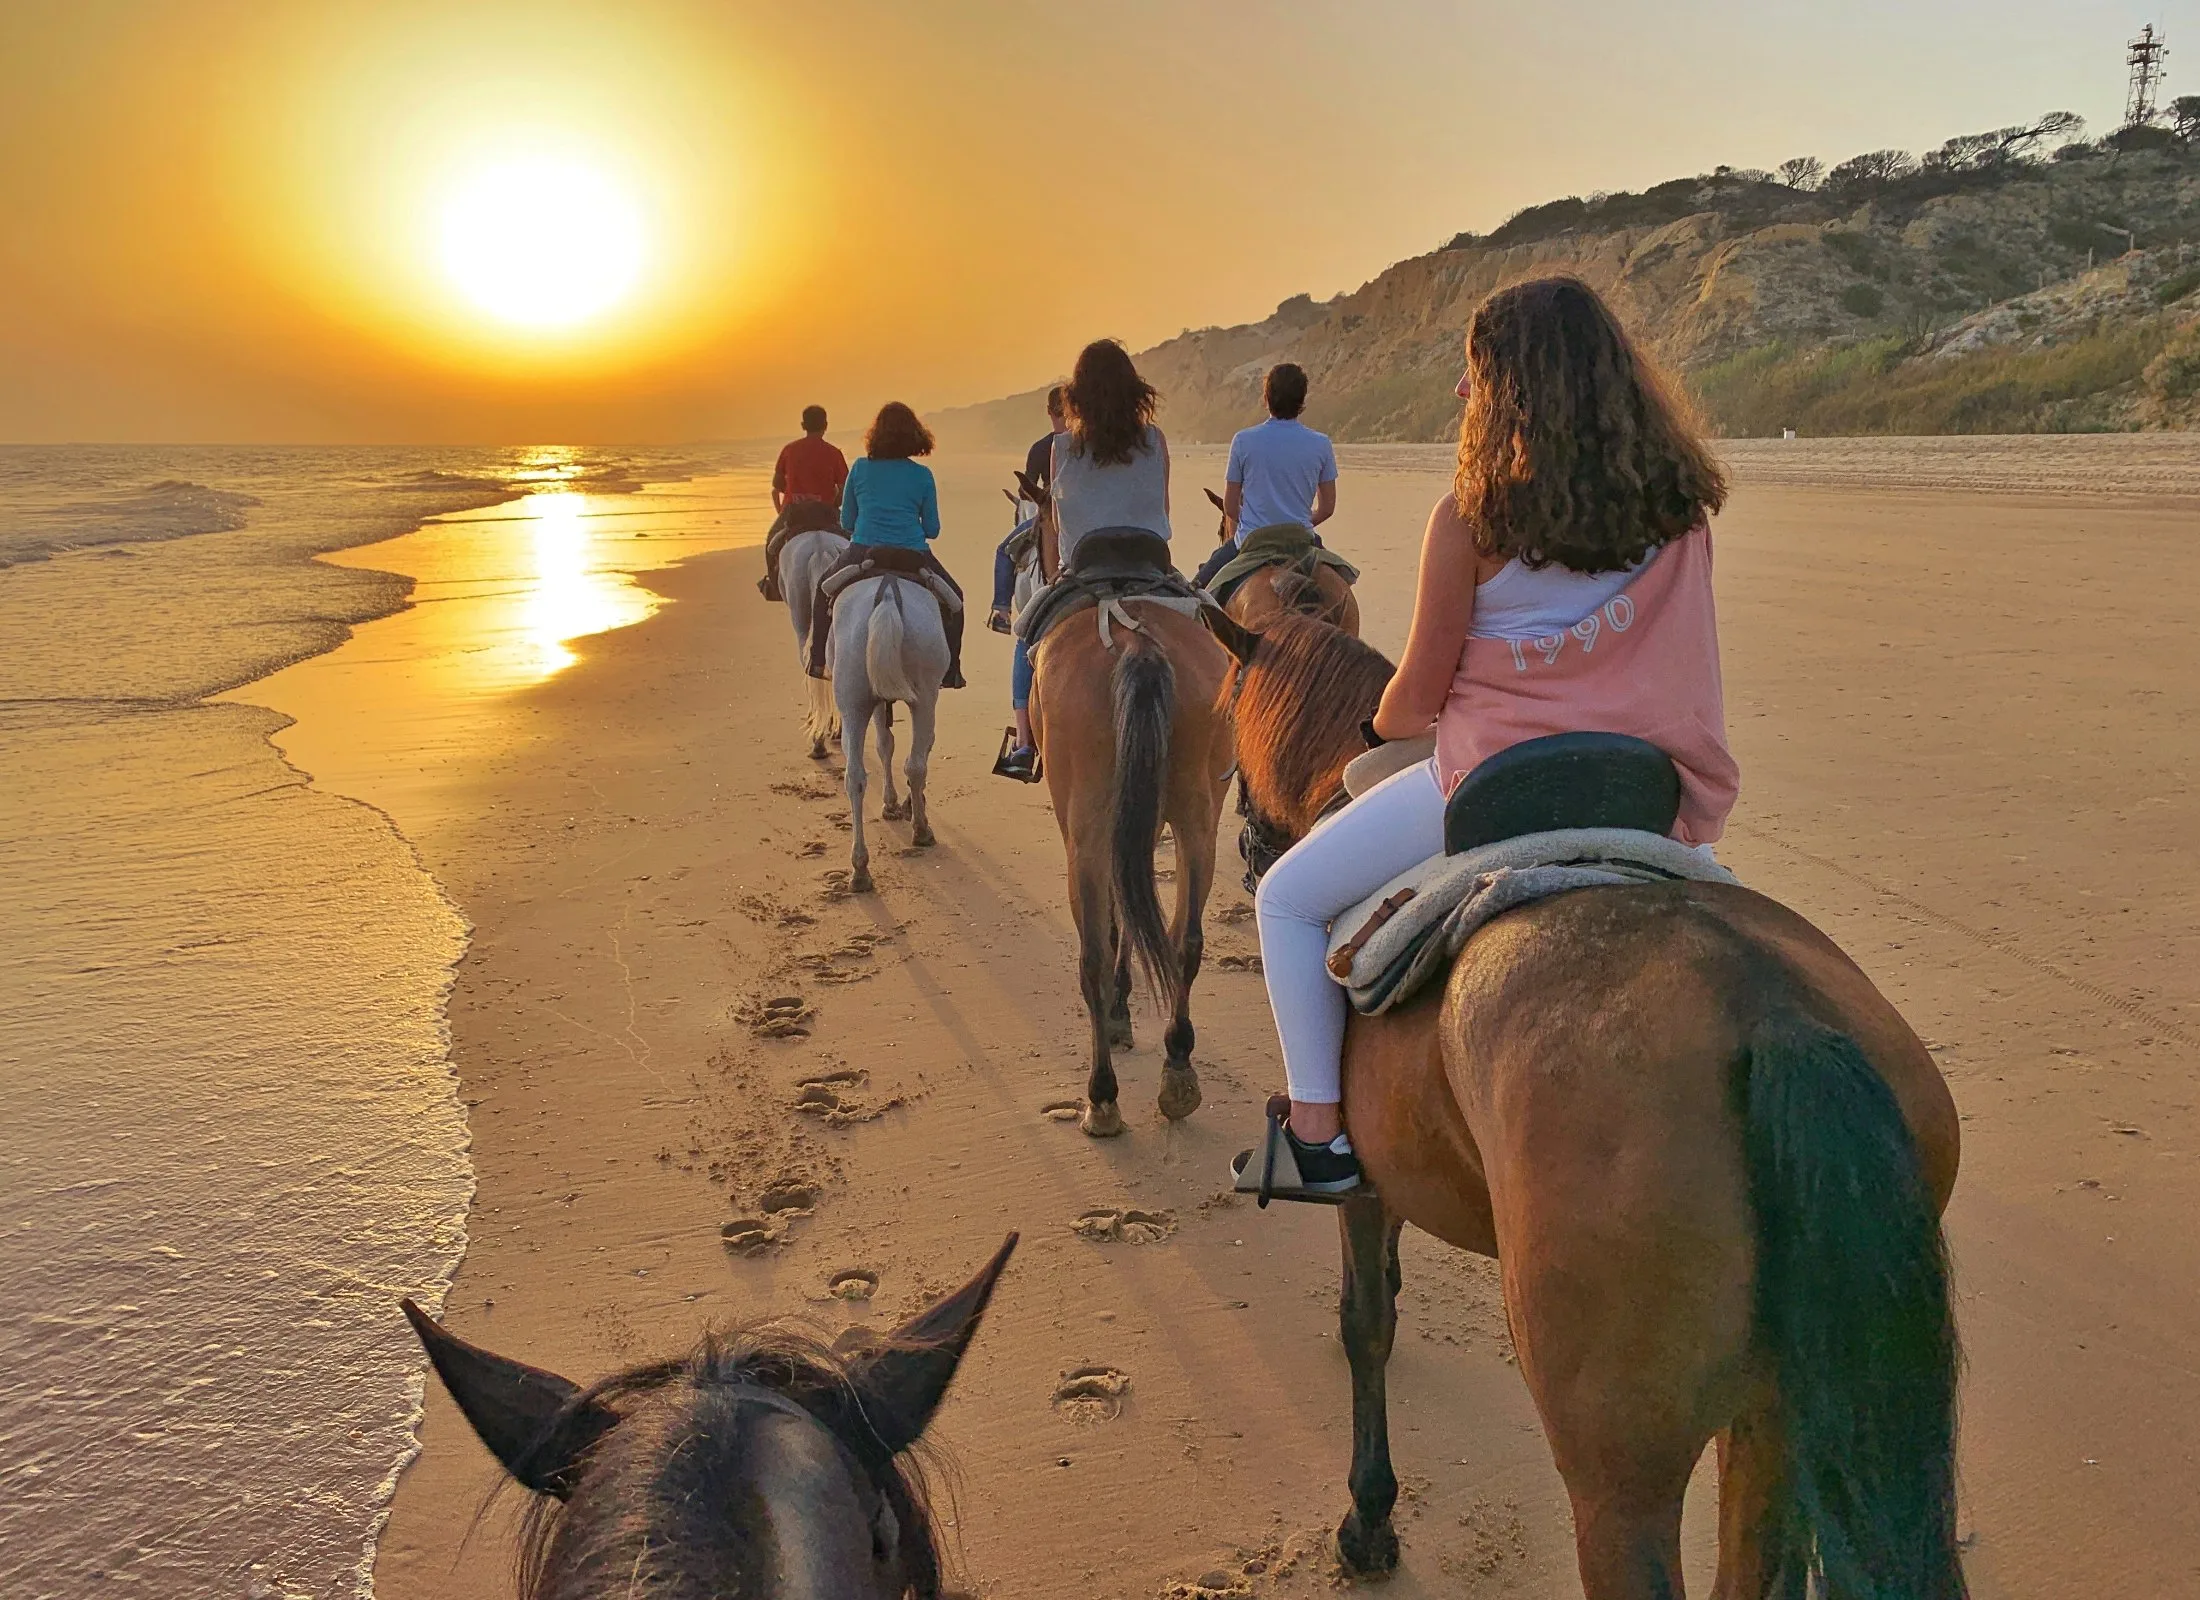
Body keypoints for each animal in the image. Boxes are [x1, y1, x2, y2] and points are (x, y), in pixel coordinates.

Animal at [827, 576, 950, 902]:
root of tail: (887, 594)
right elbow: (910, 746)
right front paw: (903, 804)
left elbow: (885, 743)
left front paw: (892, 803)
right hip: (925, 695)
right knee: (916, 764)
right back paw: (921, 830)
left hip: (852, 699)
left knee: (854, 778)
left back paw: (860, 870)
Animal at [1029, 598, 1240, 1135]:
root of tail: (1137, 644)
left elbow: (1112, 923)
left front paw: (1119, 1011)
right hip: (1196, 811)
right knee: (1187, 940)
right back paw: (1178, 1068)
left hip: (1085, 826)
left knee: (1092, 957)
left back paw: (1102, 1098)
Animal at [1214, 611, 1971, 1600]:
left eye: (1225, 709)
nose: (1247, 848)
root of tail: (1769, 1009)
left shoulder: (1366, 1186)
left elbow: (1365, 1325)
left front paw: (1369, 1521)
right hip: (1770, 1419)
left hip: (1621, 1476)